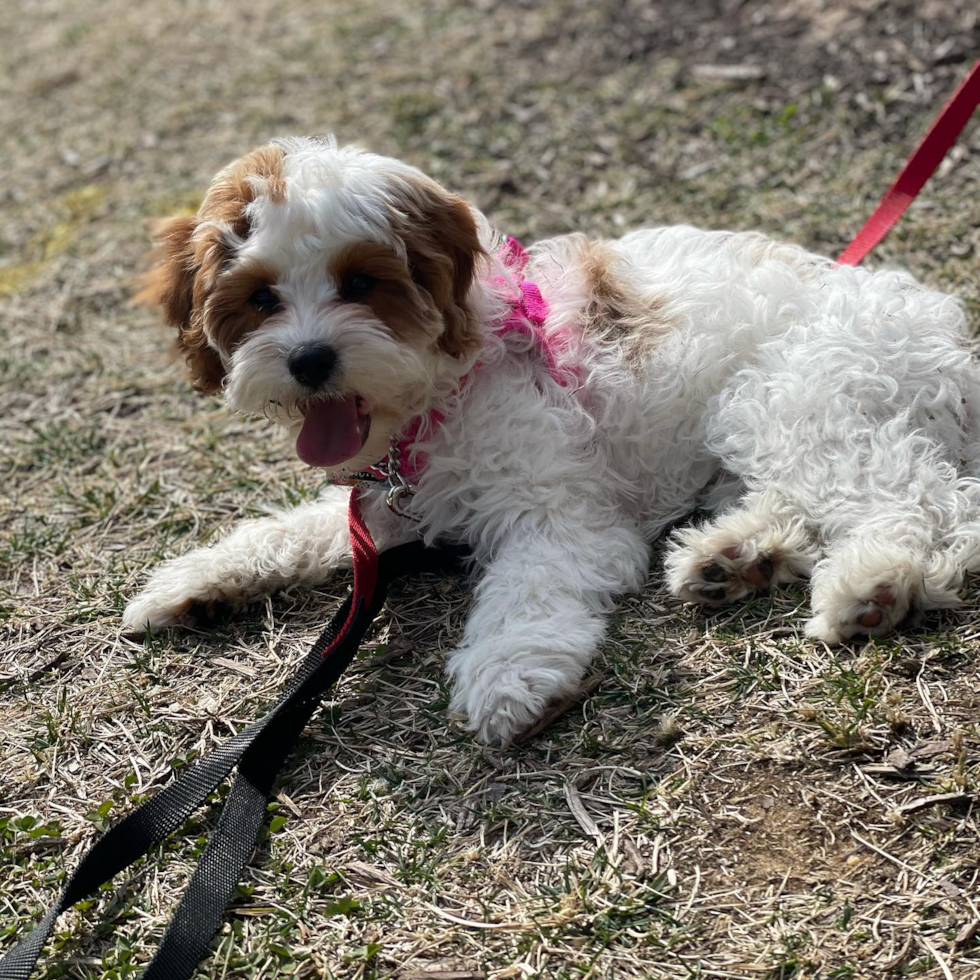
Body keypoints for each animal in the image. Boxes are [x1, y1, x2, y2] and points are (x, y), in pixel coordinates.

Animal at [122, 136, 980, 744]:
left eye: (360, 283)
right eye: (261, 297)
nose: (308, 361)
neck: (444, 387)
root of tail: (949, 345)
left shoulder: (559, 512)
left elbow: (528, 591)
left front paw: (507, 677)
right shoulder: (394, 509)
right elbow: (294, 532)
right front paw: (195, 582)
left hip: (800, 398)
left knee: (921, 498)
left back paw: (872, 583)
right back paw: (730, 557)